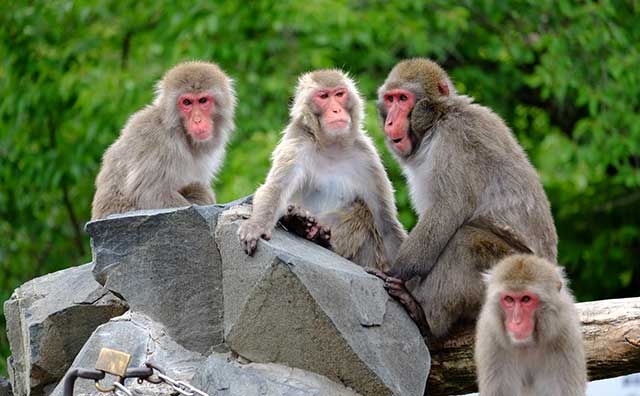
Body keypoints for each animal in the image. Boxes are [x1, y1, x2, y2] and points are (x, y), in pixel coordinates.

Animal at [91, 60, 236, 218]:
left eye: (203, 100)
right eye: (187, 102)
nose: (197, 120)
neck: (180, 131)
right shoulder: (159, 143)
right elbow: (150, 194)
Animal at [238, 69, 408, 270]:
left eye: (339, 94)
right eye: (324, 96)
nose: (336, 110)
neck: (331, 147)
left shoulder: (368, 158)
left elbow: (386, 223)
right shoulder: (297, 144)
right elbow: (275, 189)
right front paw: (256, 225)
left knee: (364, 211)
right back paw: (300, 223)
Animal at [368, 58, 556, 338]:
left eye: (403, 98)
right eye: (390, 100)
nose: (390, 122)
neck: (438, 120)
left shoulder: (455, 140)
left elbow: (446, 210)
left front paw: (396, 273)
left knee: (465, 241)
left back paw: (425, 318)